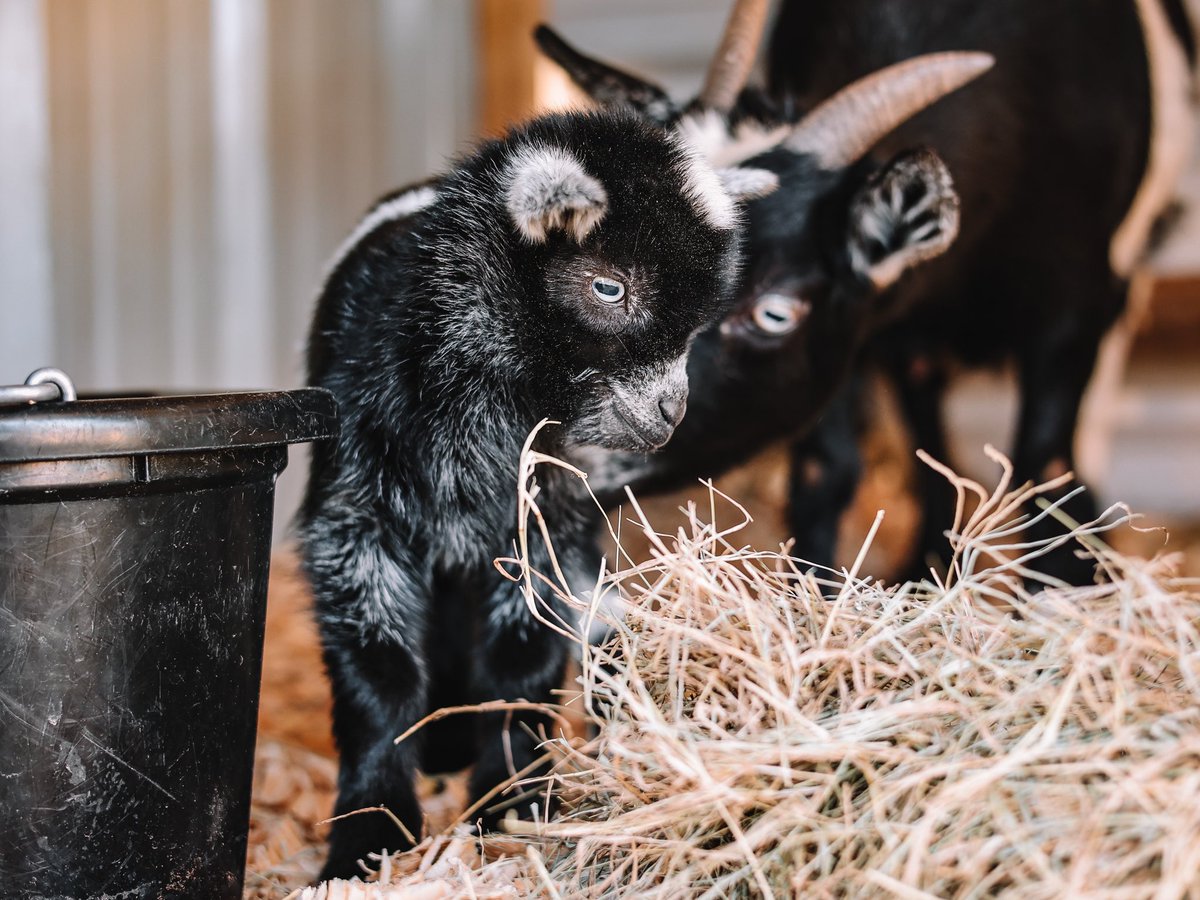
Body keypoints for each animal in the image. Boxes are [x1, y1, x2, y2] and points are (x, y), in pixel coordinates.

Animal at [297, 106, 773, 879]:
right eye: (609, 288)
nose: (671, 411)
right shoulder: (354, 524)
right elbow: (381, 677)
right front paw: (368, 836)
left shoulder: (544, 522)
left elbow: (521, 666)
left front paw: (509, 808)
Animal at [539, 0, 1194, 583]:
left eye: (776, 313)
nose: (570, 447)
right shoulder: (857, 333)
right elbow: (825, 473)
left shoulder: (1075, 310)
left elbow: (1046, 471)